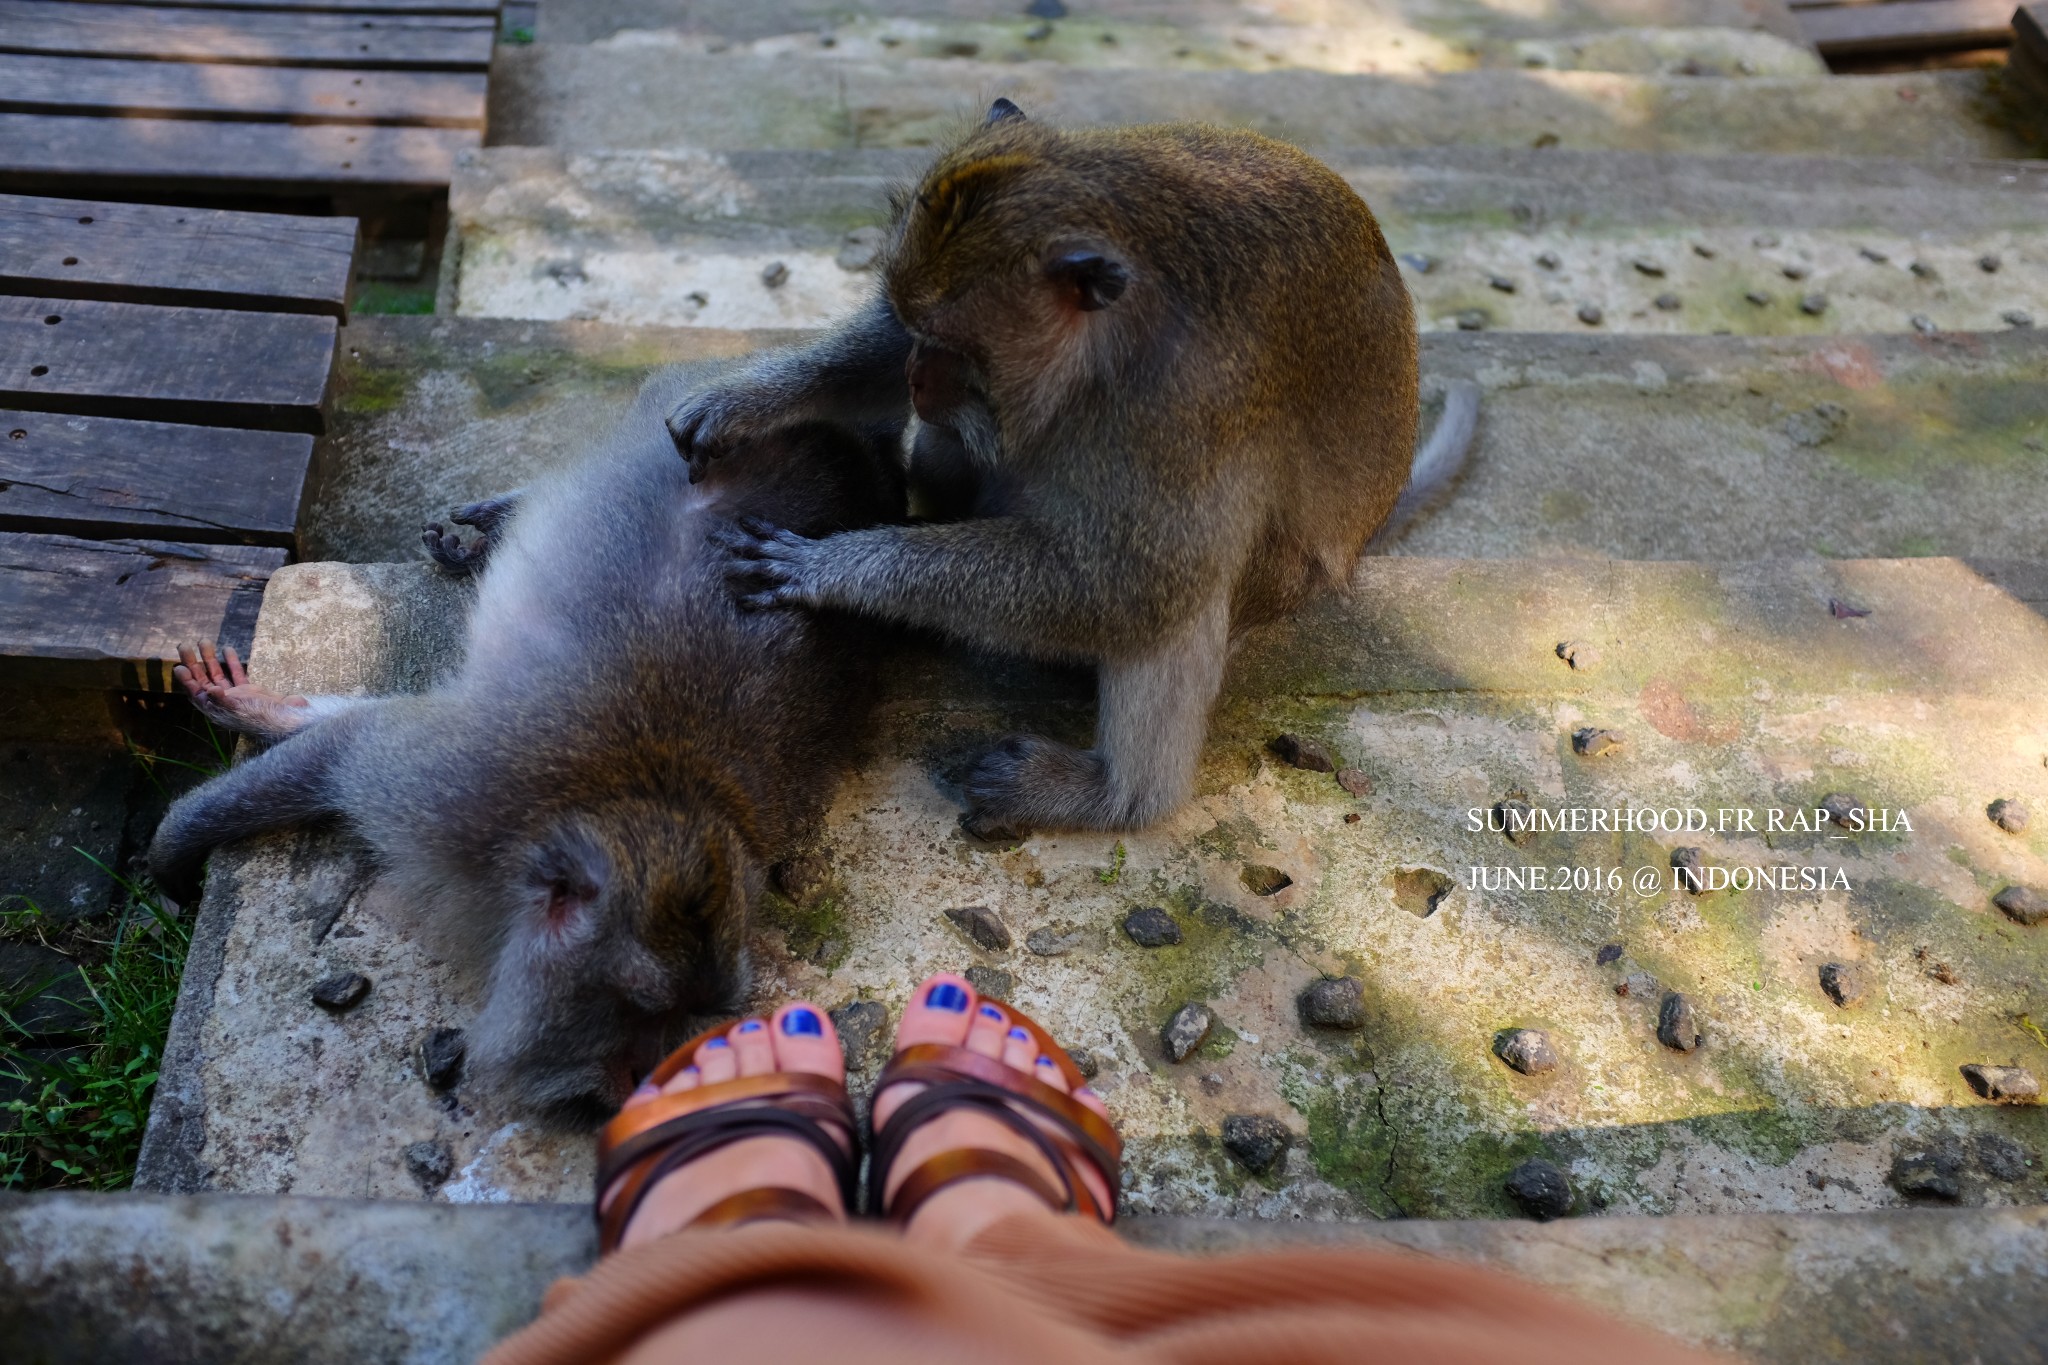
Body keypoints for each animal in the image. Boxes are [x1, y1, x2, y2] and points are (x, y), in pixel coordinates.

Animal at [148, 368, 901, 1129]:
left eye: (700, 1011)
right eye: (646, 1005)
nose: (655, 1076)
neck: (633, 797)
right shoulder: (450, 797)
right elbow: (347, 749)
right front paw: (175, 851)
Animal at [679, 98, 1482, 843]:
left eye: (954, 350)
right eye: (917, 329)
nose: (917, 378)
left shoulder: (1187, 404)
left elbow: (1135, 587)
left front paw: (837, 569)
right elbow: (873, 358)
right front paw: (749, 401)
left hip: (1275, 585)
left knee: (1180, 590)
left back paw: (1115, 797)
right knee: (951, 446)